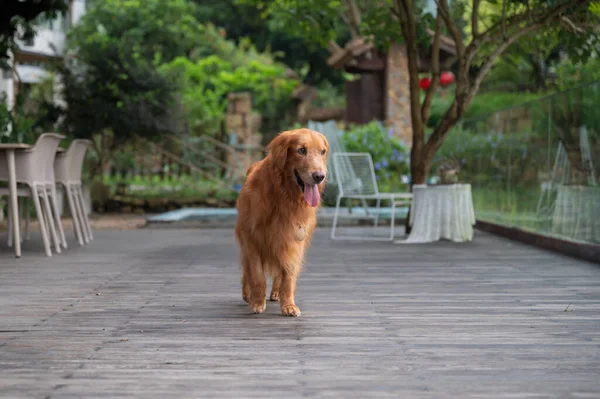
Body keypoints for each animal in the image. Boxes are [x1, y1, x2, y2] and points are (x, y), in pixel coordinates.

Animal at [234, 130, 328, 318]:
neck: (283, 196)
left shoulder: (294, 241)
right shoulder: (252, 240)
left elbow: (288, 277)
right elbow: (257, 276)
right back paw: (248, 294)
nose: (319, 176)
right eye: (301, 150)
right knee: (247, 270)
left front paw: (289, 305)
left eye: (322, 152)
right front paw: (257, 302)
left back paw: (276, 293)